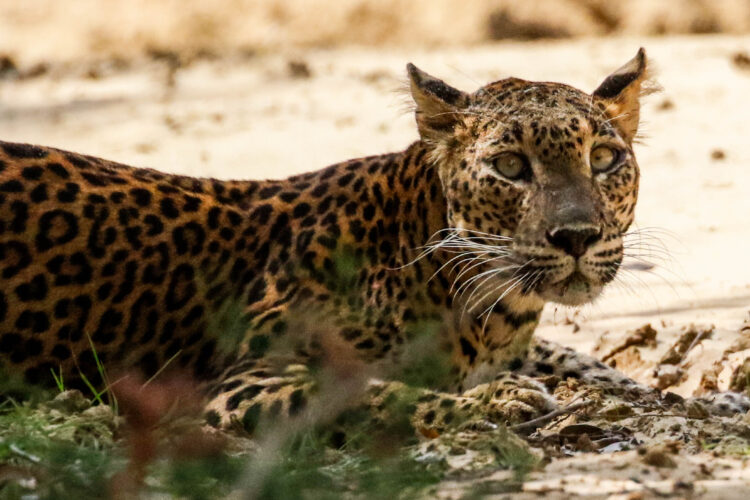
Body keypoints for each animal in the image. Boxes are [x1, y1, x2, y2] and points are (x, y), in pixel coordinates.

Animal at [0, 48, 745, 440]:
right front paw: (495, 403)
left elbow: (589, 365)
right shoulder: (240, 382)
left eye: (605, 159)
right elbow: (369, 393)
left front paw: (711, 402)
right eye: (510, 166)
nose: (576, 237)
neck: (489, 312)